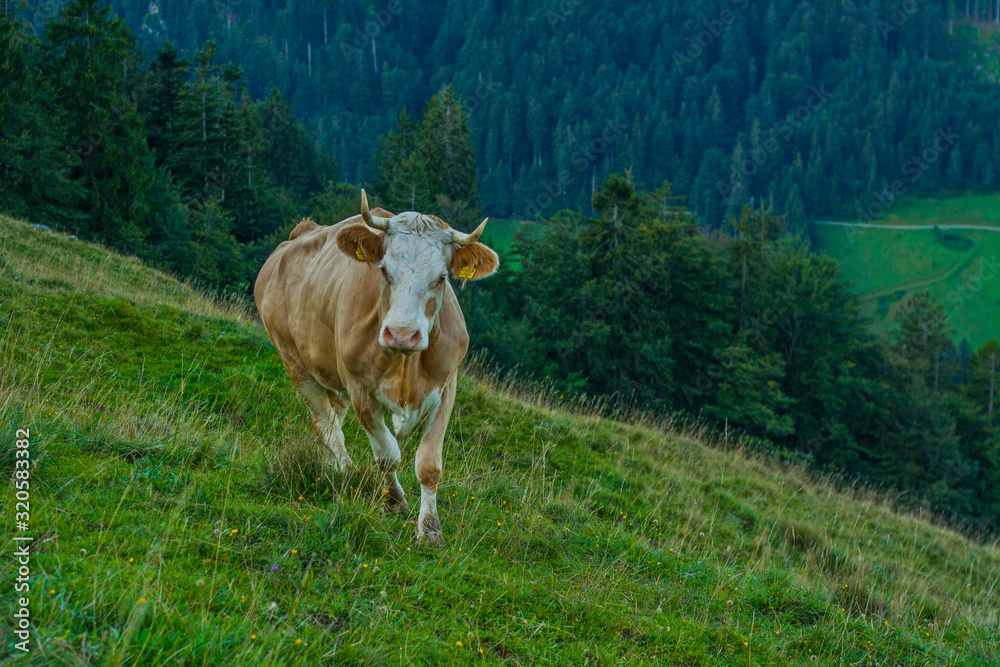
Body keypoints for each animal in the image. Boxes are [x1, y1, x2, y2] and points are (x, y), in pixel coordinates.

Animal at [252, 190, 498, 544]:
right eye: (382, 270)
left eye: (442, 277)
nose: (402, 334)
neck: (406, 367)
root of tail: (300, 233)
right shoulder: (359, 390)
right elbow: (387, 455)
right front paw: (394, 501)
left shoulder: (446, 389)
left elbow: (428, 465)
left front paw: (430, 531)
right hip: (293, 361)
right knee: (325, 422)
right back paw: (342, 470)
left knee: (332, 415)